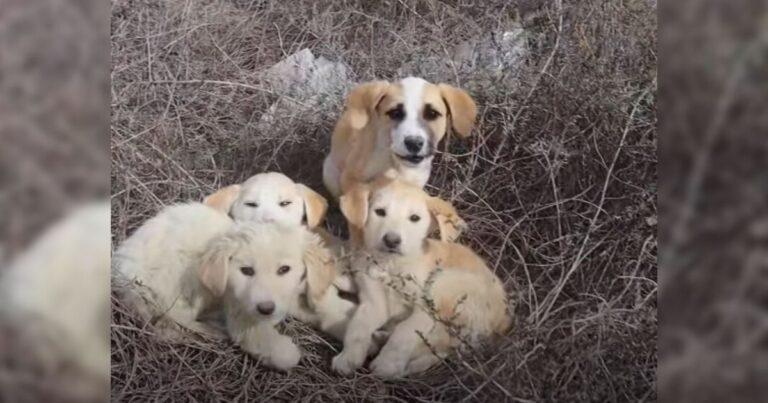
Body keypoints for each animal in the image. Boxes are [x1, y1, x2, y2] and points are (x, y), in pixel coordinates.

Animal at [330, 178, 510, 378]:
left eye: (414, 218)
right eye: (380, 212)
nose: (391, 240)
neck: (391, 265)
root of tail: (503, 322)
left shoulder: (426, 310)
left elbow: (405, 331)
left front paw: (387, 364)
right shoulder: (373, 301)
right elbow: (358, 326)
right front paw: (348, 357)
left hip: (445, 283)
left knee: (439, 344)